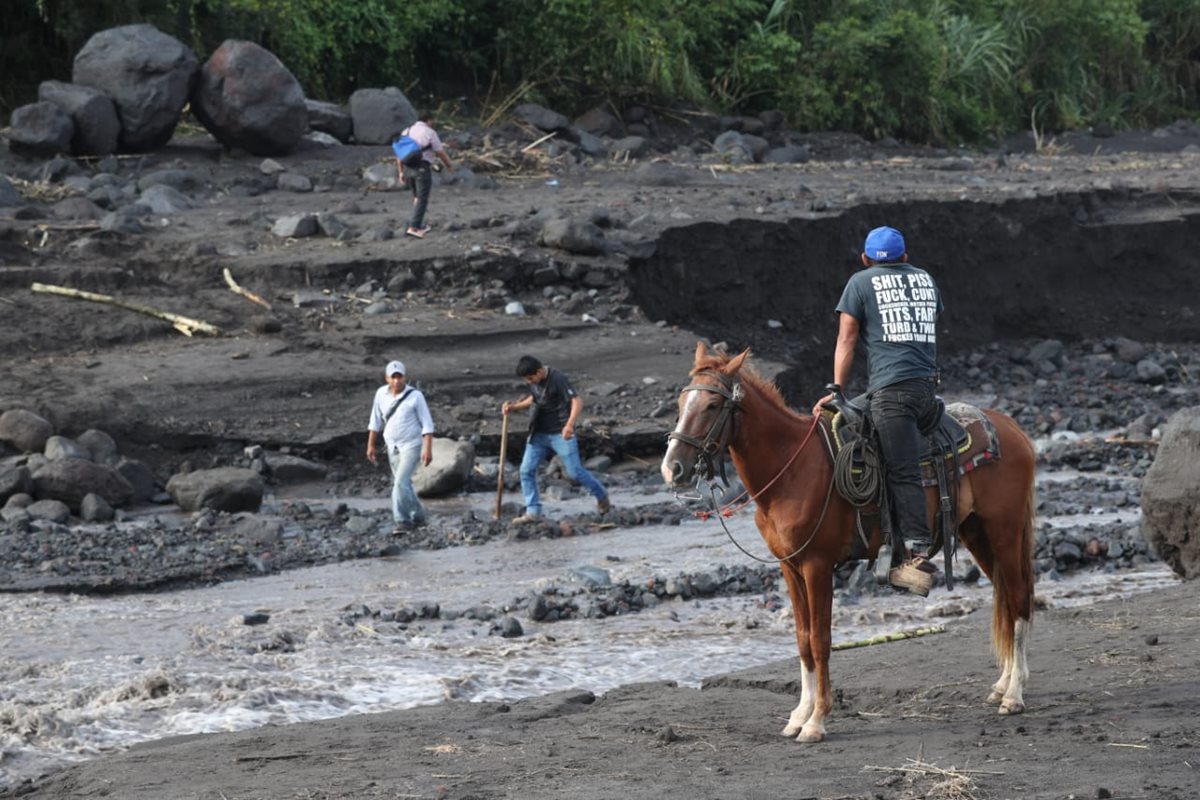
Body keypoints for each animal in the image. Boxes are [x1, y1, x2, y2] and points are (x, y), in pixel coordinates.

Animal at [662, 340, 1036, 743]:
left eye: (713, 405)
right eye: (681, 403)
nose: (672, 468)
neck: (791, 470)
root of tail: (1012, 429)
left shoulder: (817, 565)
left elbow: (820, 640)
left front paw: (817, 720)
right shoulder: (789, 567)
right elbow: (802, 638)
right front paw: (799, 714)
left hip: (1005, 530)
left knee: (1018, 600)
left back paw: (1014, 695)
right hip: (976, 532)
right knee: (1006, 597)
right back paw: (1002, 685)